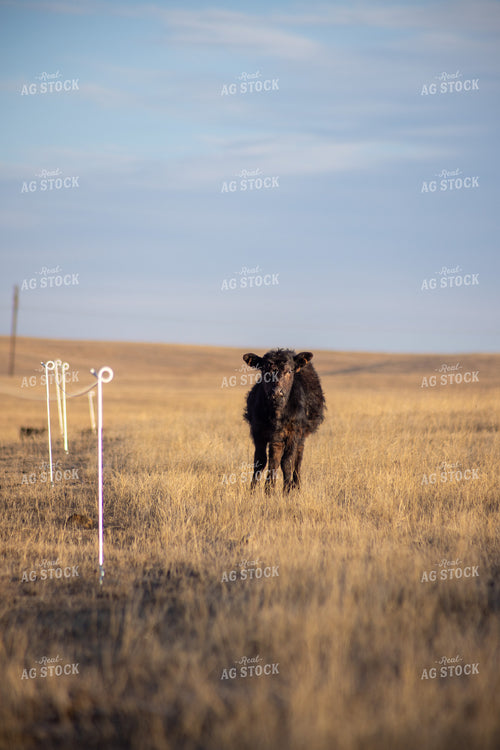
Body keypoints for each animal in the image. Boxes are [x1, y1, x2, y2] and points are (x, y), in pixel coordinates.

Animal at [243, 349, 325, 493]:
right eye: (265, 371)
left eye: (290, 371)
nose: (277, 393)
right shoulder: (258, 432)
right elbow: (261, 460)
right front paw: (256, 491)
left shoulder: (294, 433)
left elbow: (287, 461)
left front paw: (286, 490)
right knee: (275, 457)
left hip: (301, 436)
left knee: (298, 457)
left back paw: (296, 486)